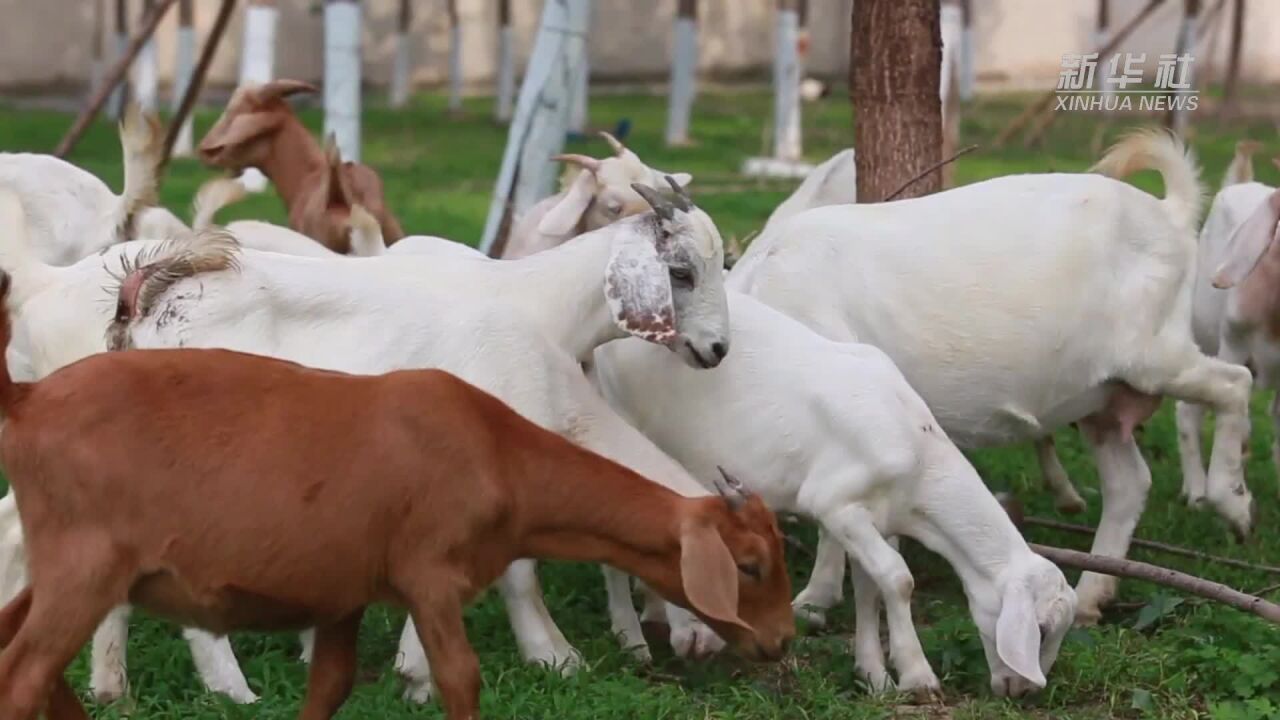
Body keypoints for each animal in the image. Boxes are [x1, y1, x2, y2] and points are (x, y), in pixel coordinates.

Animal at [593, 292, 1075, 696]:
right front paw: (917, 676)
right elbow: (899, 579)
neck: (921, 460)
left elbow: (870, 587)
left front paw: (874, 674)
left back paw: (657, 612)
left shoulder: (876, 520)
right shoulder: (836, 504)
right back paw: (633, 639)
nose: (1025, 691)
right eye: (1041, 629)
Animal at [732, 130, 1249, 622]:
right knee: (1129, 483)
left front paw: (813, 601)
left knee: (1234, 382)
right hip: (1100, 397)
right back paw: (1089, 600)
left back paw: (1234, 504)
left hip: (1153, 356)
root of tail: (1170, 213)